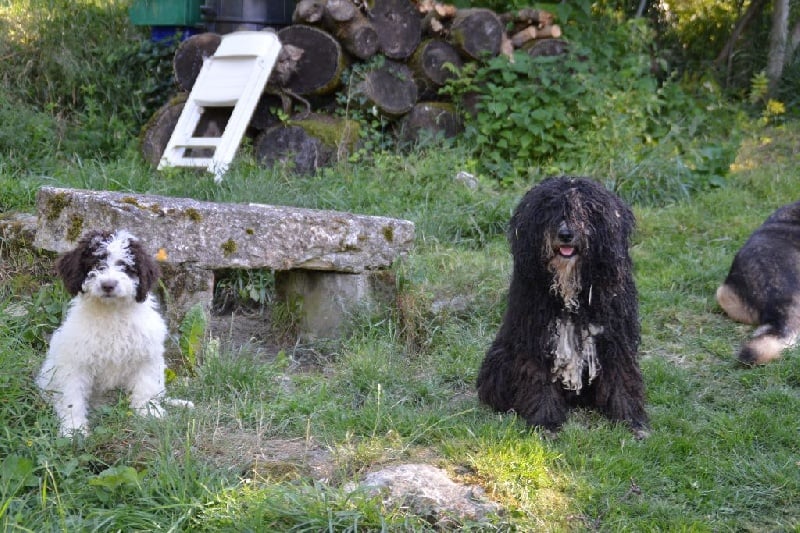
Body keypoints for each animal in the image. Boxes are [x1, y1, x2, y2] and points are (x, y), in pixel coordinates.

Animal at [37, 229, 192, 436]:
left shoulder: (147, 355)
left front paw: (147, 412)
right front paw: (74, 429)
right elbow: (72, 398)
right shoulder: (75, 363)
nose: (108, 285)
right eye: (97, 264)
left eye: (125, 266)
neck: (112, 312)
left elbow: (145, 386)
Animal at [477, 177, 649, 437]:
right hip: (499, 359)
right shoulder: (538, 339)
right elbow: (540, 381)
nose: (566, 234)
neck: (571, 289)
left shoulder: (615, 338)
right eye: (551, 210)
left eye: (587, 210)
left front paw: (632, 420)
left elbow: (622, 377)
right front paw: (545, 422)